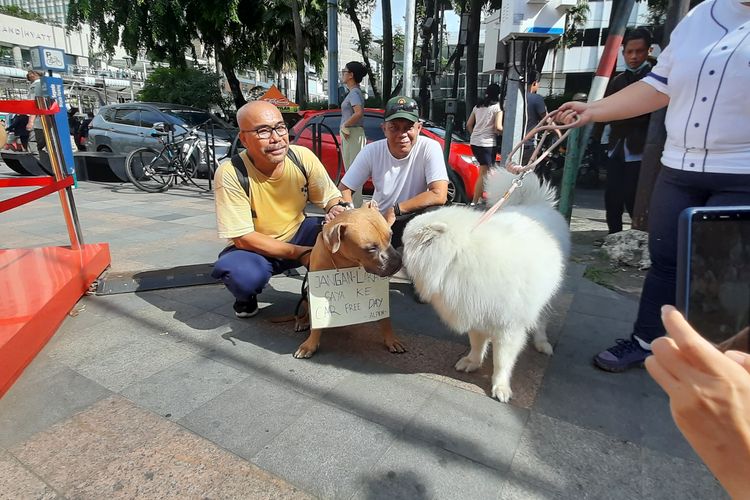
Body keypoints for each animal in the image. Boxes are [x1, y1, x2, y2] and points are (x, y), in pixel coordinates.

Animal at [296, 203, 408, 360]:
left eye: (391, 236)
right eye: (371, 248)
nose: (397, 262)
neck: (346, 260)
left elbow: (385, 319)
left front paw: (391, 340)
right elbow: (317, 323)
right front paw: (309, 345)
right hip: (306, 293)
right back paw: (302, 321)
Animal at [406, 169, 568, 402]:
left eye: (401, 239)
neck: (458, 256)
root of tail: (536, 204)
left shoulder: (508, 326)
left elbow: (502, 360)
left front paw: (500, 387)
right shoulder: (474, 308)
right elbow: (476, 342)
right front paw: (472, 362)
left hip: (547, 297)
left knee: (541, 320)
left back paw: (542, 343)